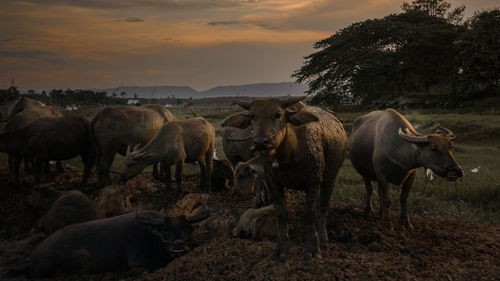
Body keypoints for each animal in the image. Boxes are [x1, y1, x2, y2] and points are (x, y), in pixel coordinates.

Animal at [29, 208, 209, 276]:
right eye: (165, 230)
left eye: (187, 229)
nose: (178, 245)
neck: (153, 237)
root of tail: (38, 250)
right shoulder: (139, 260)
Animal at [223, 95, 348, 258]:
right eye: (252, 116)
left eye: (278, 115)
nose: (260, 142)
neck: (288, 155)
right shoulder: (273, 183)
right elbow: (281, 214)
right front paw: (280, 249)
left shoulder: (313, 182)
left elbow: (310, 214)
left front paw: (312, 249)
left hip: (330, 177)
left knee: (322, 208)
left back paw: (323, 241)